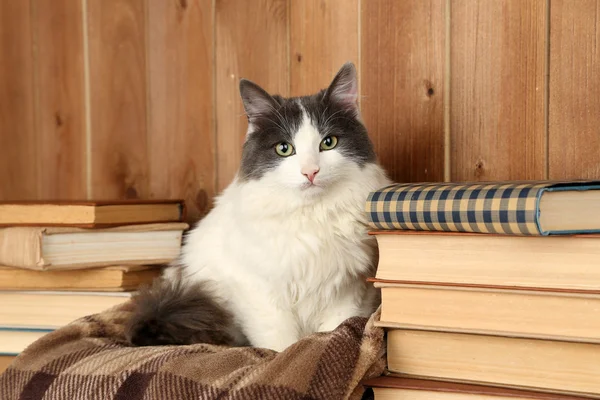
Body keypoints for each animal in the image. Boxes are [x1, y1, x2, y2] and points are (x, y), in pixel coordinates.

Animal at [124, 61, 392, 352]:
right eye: (284, 149)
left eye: (328, 142)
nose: (310, 172)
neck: (311, 216)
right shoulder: (258, 291)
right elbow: (281, 343)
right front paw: (285, 356)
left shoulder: (347, 290)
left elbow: (333, 331)